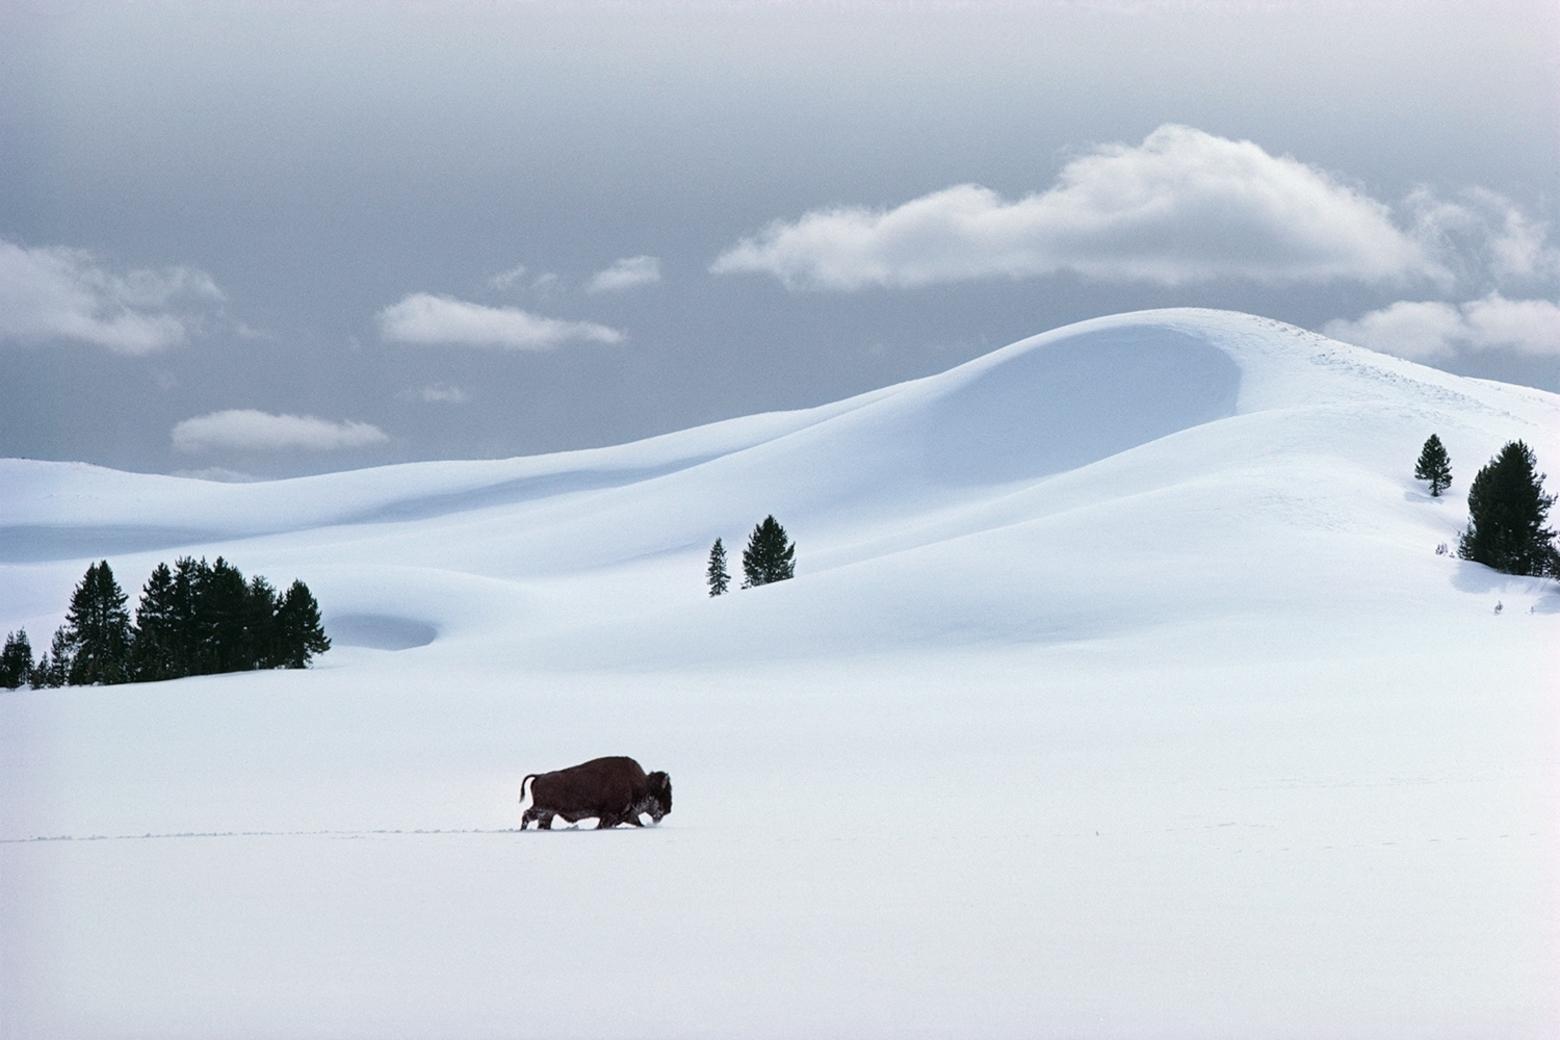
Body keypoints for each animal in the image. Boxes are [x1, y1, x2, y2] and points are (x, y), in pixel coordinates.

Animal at [521, 757, 673, 829]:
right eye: (664, 793)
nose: (668, 810)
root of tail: (540, 776)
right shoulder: (610, 815)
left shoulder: (627, 816)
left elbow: (638, 823)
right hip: (542, 810)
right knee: (526, 815)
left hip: (547, 814)